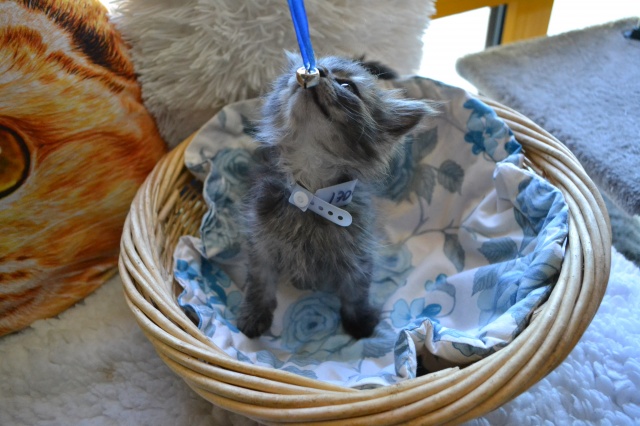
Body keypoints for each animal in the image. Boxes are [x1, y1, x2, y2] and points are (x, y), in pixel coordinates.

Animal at [236, 55, 433, 339]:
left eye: (348, 86)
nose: (317, 70)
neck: (310, 193)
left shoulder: (358, 251)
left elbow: (356, 288)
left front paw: (360, 320)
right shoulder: (260, 243)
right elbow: (259, 281)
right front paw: (254, 313)